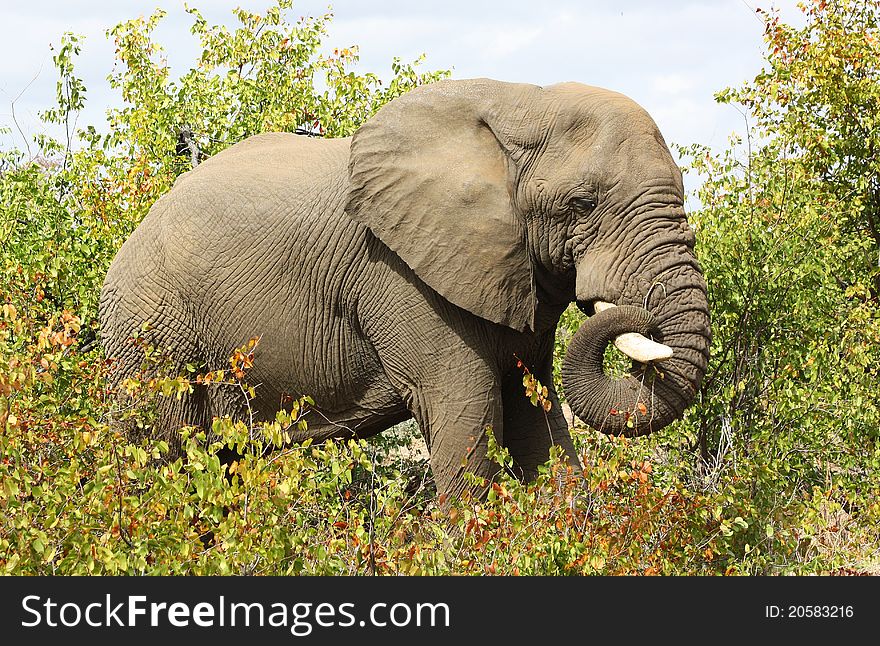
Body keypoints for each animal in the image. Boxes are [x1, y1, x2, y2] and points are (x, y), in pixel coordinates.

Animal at [99, 77, 712, 502]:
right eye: (582, 204)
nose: (640, 313)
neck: (522, 103)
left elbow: (537, 417)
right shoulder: (405, 278)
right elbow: (466, 410)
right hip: (151, 333)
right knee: (164, 453)